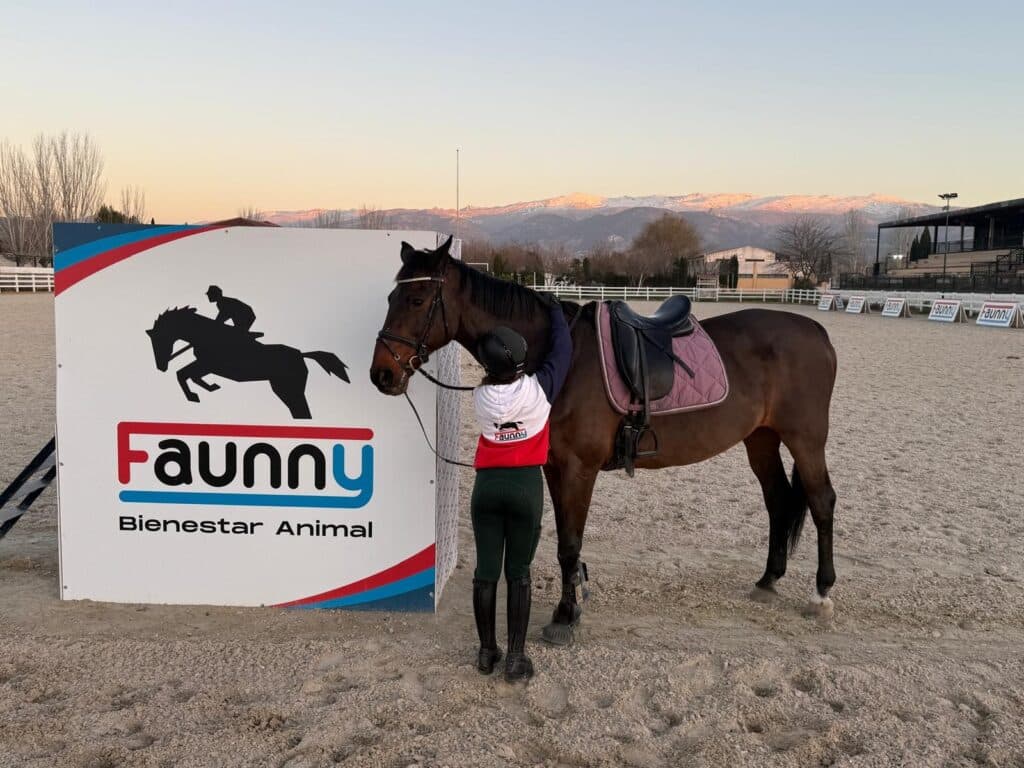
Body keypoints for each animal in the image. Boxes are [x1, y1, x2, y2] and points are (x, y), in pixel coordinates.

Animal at [146, 307, 350, 419]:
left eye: (159, 340)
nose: (161, 367)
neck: (205, 334)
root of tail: (301, 354)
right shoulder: (205, 365)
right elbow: (186, 374)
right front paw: (209, 388)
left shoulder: (208, 364)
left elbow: (183, 374)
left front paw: (194, 395)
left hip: (289, 390)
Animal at [370, 237, 838, 645]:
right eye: (390, 298)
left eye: (416, 300)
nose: (382, 374)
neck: (558, 355)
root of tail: (817, 331)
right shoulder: (555, 466)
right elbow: (564, 539)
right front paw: (572, 601)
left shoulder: (580, 468)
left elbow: (569, 543)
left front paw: (564, 616)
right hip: (761, 439)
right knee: (779, 500)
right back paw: (768, 579)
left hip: (806, 439)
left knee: (821, 501)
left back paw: (821, 593)